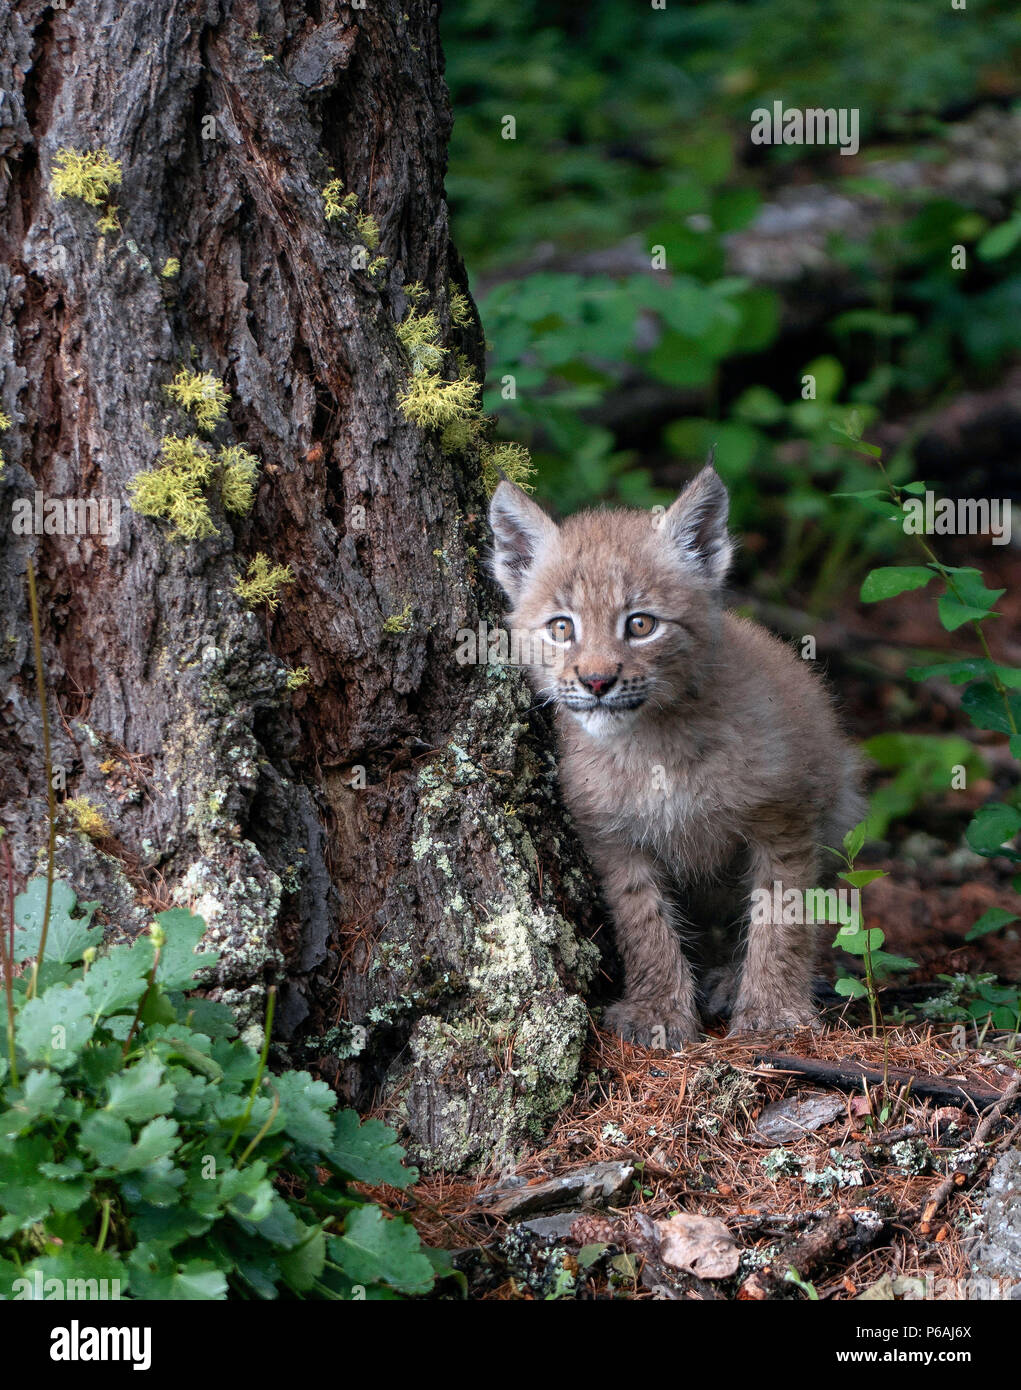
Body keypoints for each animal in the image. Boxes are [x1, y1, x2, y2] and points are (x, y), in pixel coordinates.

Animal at [486, 461, 861, 1045]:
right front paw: (658, 1010)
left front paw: (773, 1012)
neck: (651, 742)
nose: (597, 681)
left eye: (641, 624)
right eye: (561, 627)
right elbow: (644, 921)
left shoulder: (785, 816)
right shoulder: (612, 836)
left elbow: (783, 916)